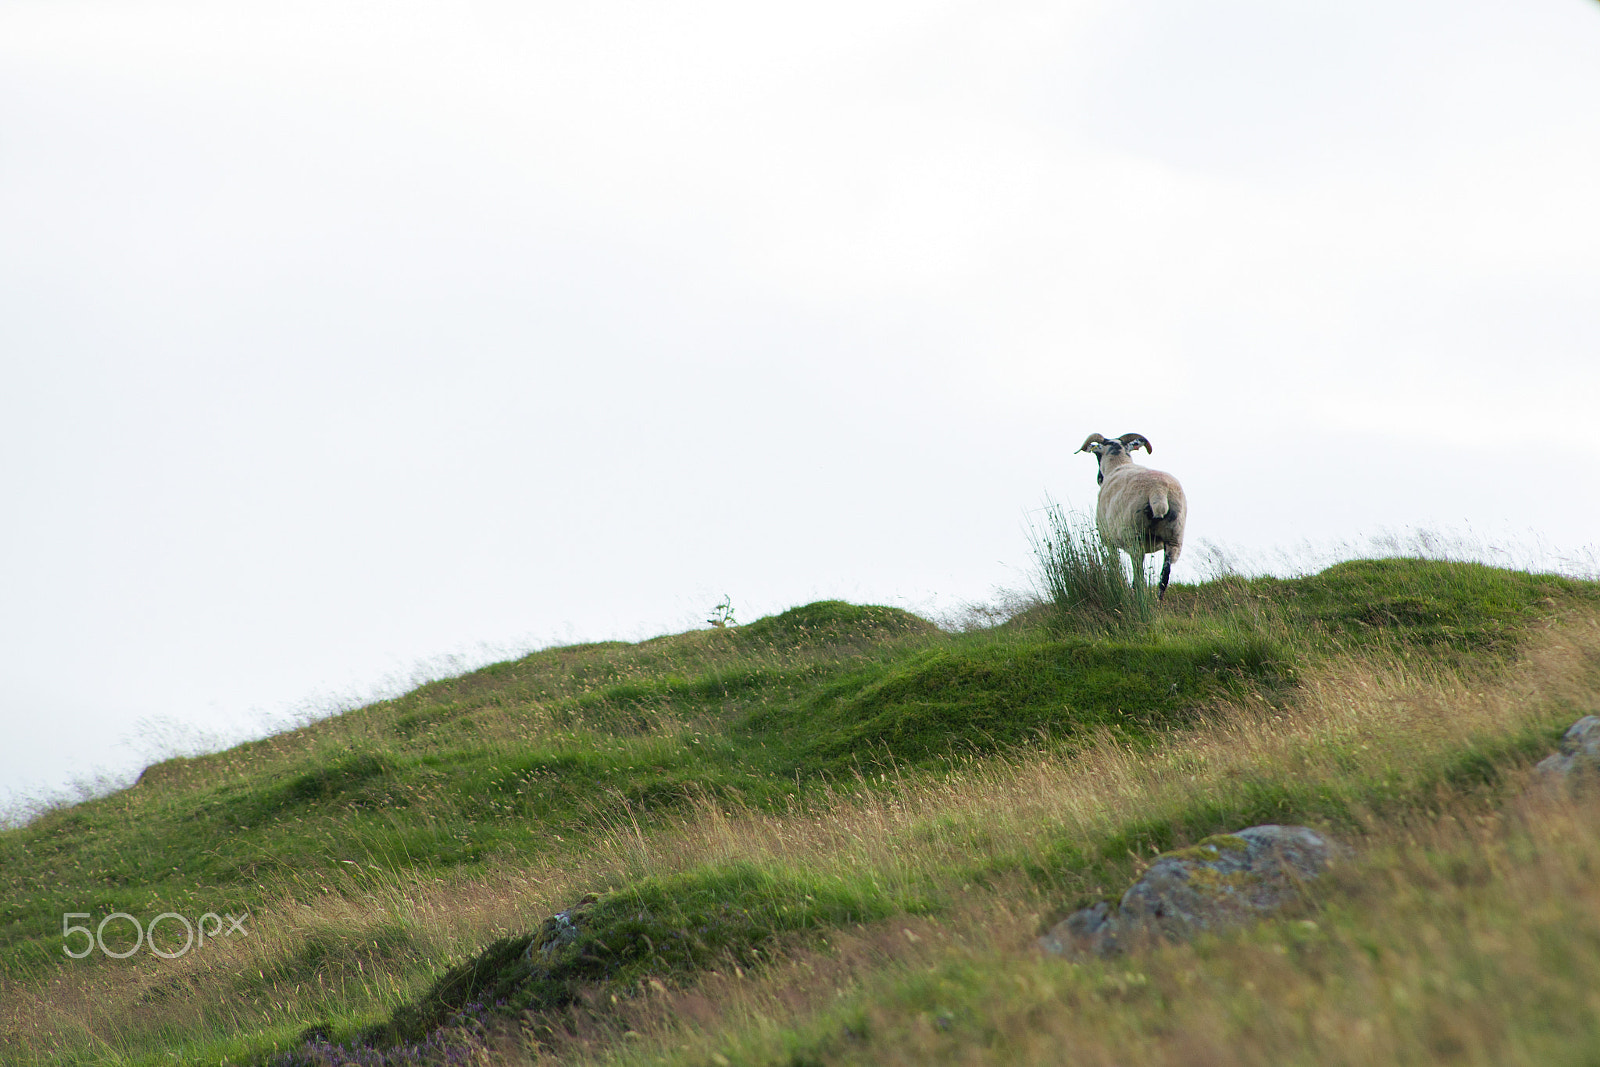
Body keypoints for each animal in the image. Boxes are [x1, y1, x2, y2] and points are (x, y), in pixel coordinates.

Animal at [1081, 435, 1184, 601]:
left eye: (1097, 454)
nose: (1098, 478)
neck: (1118, 464)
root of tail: (1158, 490)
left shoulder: (1108, 540)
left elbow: (1115, 566)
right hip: (1174, 538)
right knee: (1164, 576)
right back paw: (1157, 602)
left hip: (1134, 537)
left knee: (1139, 575)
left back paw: (1137, 597)